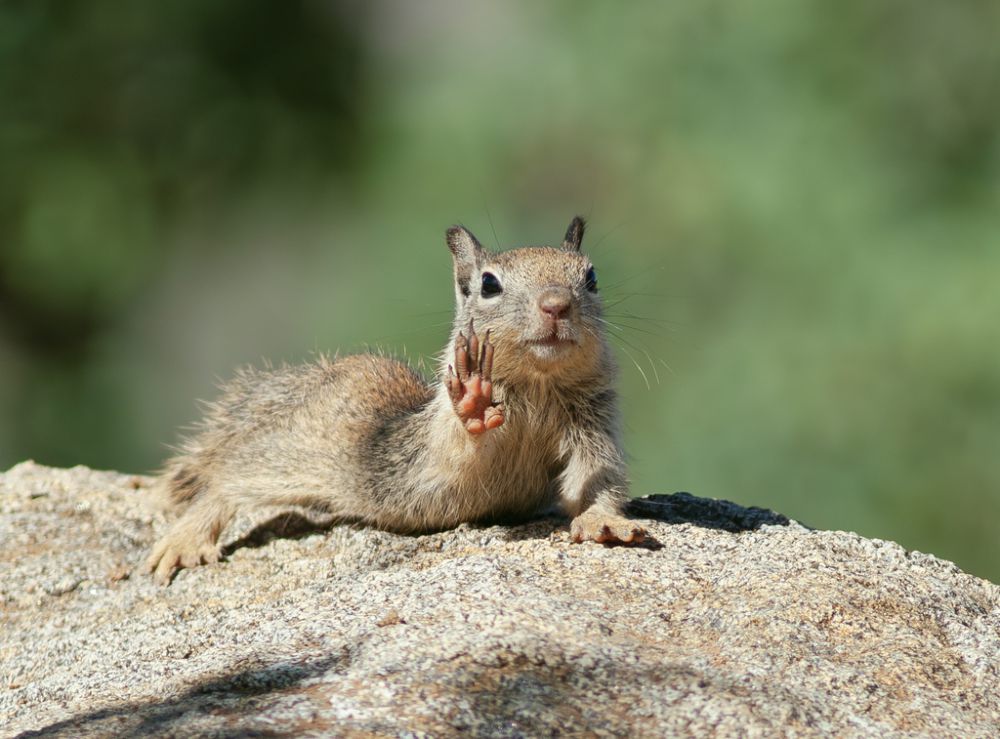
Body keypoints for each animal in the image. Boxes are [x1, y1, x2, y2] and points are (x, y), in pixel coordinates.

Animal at [148, 215, 648, 584]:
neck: (539, 386)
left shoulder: (595, 424)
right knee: (228, 477)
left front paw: (603, 522)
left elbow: (597, 479)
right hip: (286, 459)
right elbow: (461, 451)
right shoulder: (441, 445)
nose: (556, 305)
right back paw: (185, 539)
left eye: (591, 276)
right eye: (489, 285)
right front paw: (474, 398)